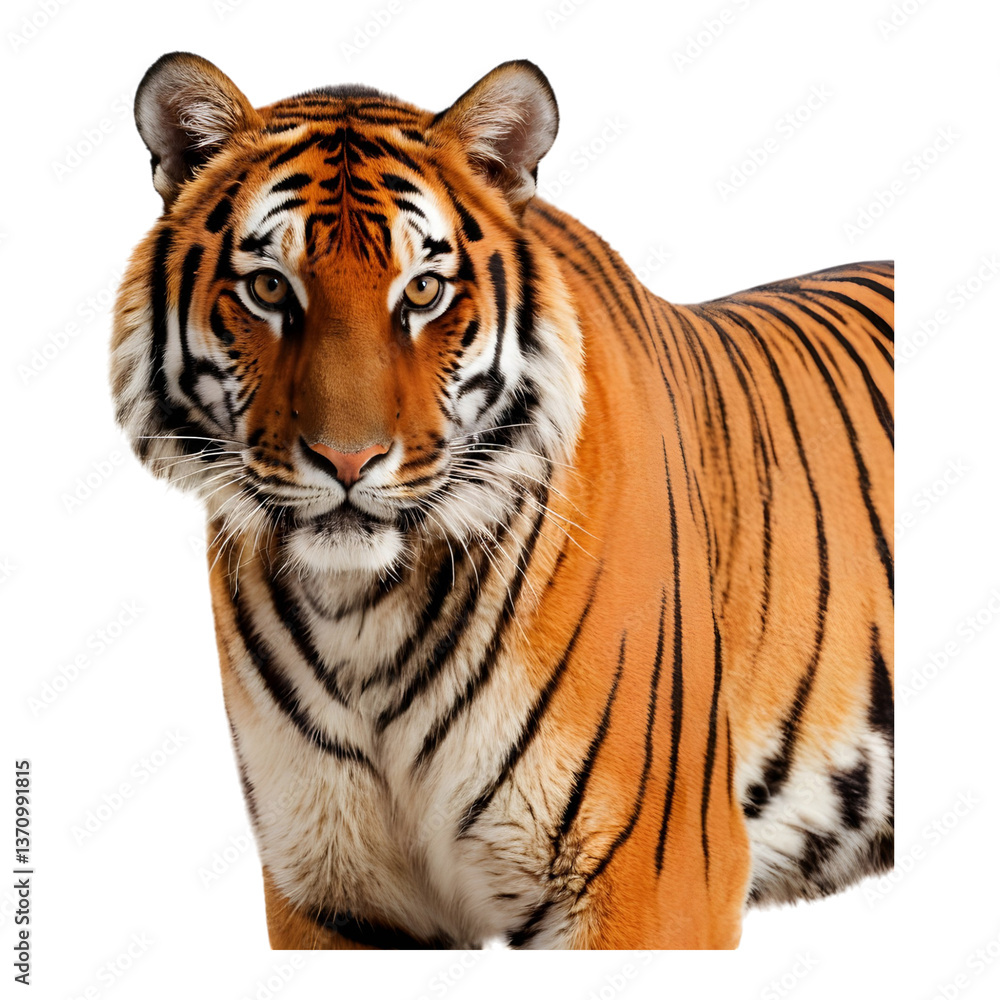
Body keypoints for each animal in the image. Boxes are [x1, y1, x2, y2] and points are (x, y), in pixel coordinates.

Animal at [110, 52, 893, 950]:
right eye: (270, 288)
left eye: (422, 292)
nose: (348, 460)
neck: (360, 617)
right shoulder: (332, 895)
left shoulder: (650, 884)